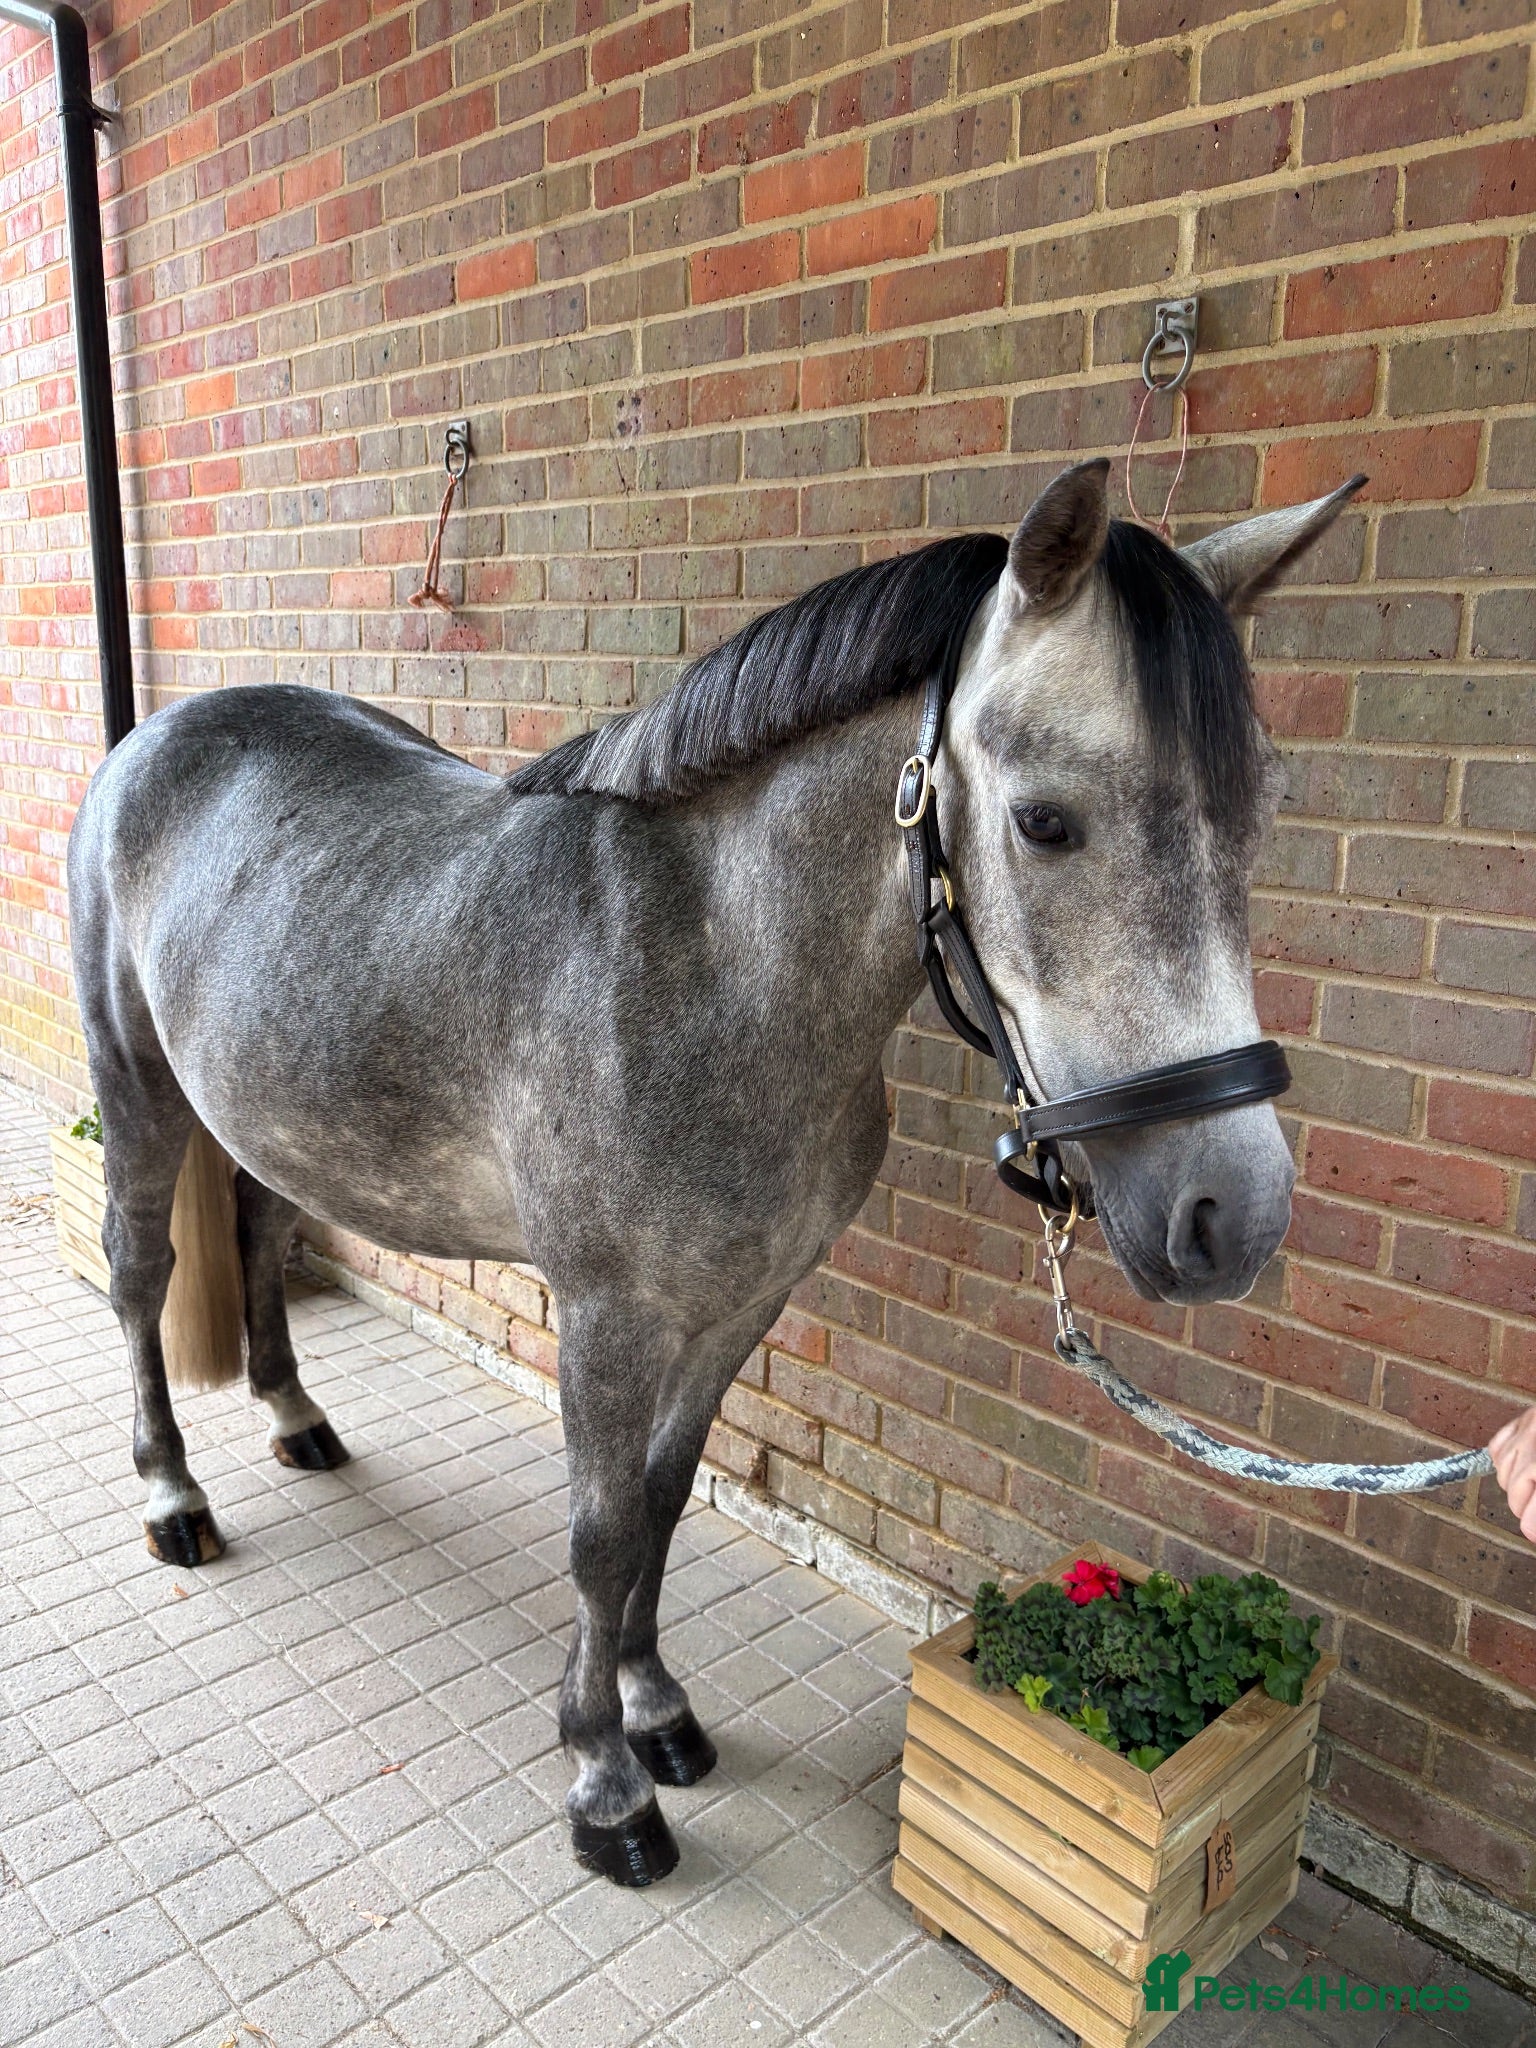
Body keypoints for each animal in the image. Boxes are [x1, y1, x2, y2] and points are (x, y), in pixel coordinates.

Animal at [67, 457, 1358, 1885]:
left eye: (1262, 811)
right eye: (1045, 822)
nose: (1231, 1212)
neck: (707, 972)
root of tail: (155, 741)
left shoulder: (746, 1299)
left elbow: (665, 1500)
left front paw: (658, 1708)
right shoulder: (607, 1315)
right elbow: (599, 1534)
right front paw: (605, 1780)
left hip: (264, 1109)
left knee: (254, 1222)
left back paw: (297, 1418)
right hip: (135, 1085)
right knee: (139, 1274)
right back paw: (173, 1495)